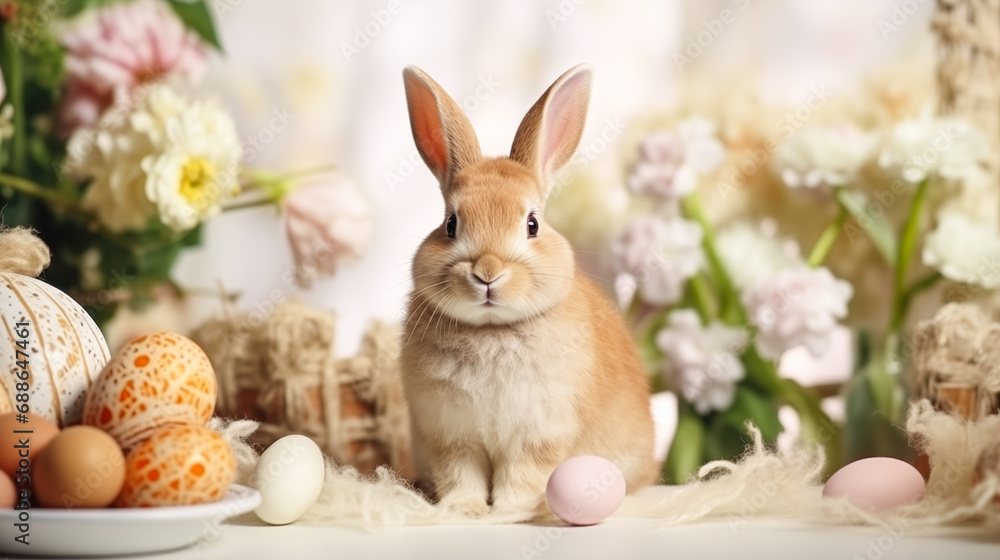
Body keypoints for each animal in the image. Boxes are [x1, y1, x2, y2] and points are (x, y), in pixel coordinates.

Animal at [399, 63, 657, 520]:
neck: (491, 330)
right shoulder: (449, 437)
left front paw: (509, 512)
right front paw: (465, 511)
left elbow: (523, 476)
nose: (487, 272)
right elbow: (459, 475)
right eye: (451, 224)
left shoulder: (537, 437)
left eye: (532, 224)